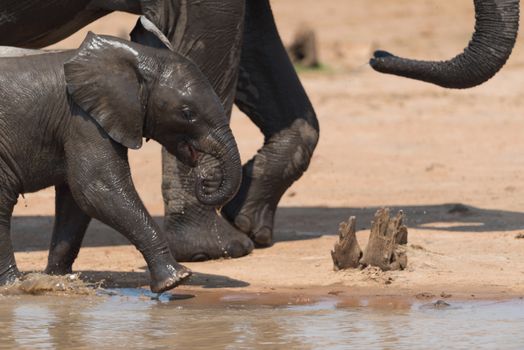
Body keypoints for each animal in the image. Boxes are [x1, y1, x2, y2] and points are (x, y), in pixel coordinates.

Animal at [0, 31, 244, 292]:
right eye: (187, 113)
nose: (205, 180)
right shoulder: (83, 120)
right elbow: (98, 190)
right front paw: (176, 280)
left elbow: (74, 201)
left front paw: (57, 281)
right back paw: (13, 284)